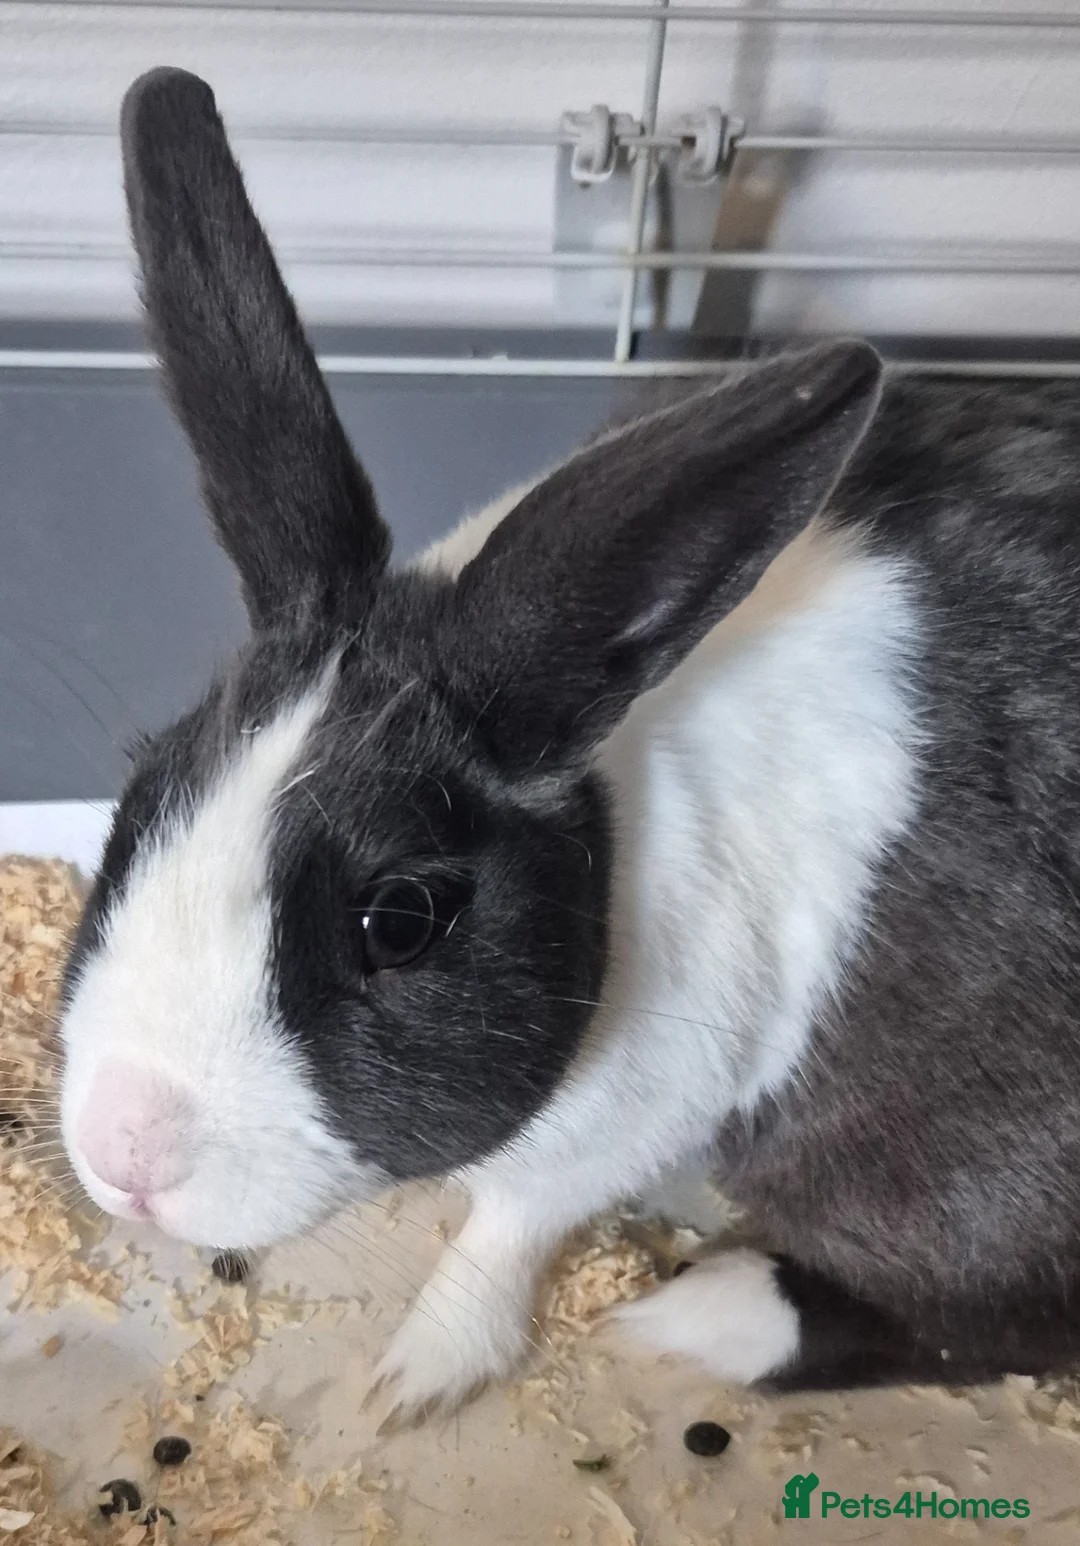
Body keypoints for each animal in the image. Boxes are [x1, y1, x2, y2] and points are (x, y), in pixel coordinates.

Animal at [59, 65, 1080, 1431]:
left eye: (400, 920)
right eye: (137, 804)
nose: (124, 1152)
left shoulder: (631, 1105)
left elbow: (506, 1226)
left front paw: (411, 1381)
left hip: (957, 1175)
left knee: (993, 1312)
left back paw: (697, 1316)